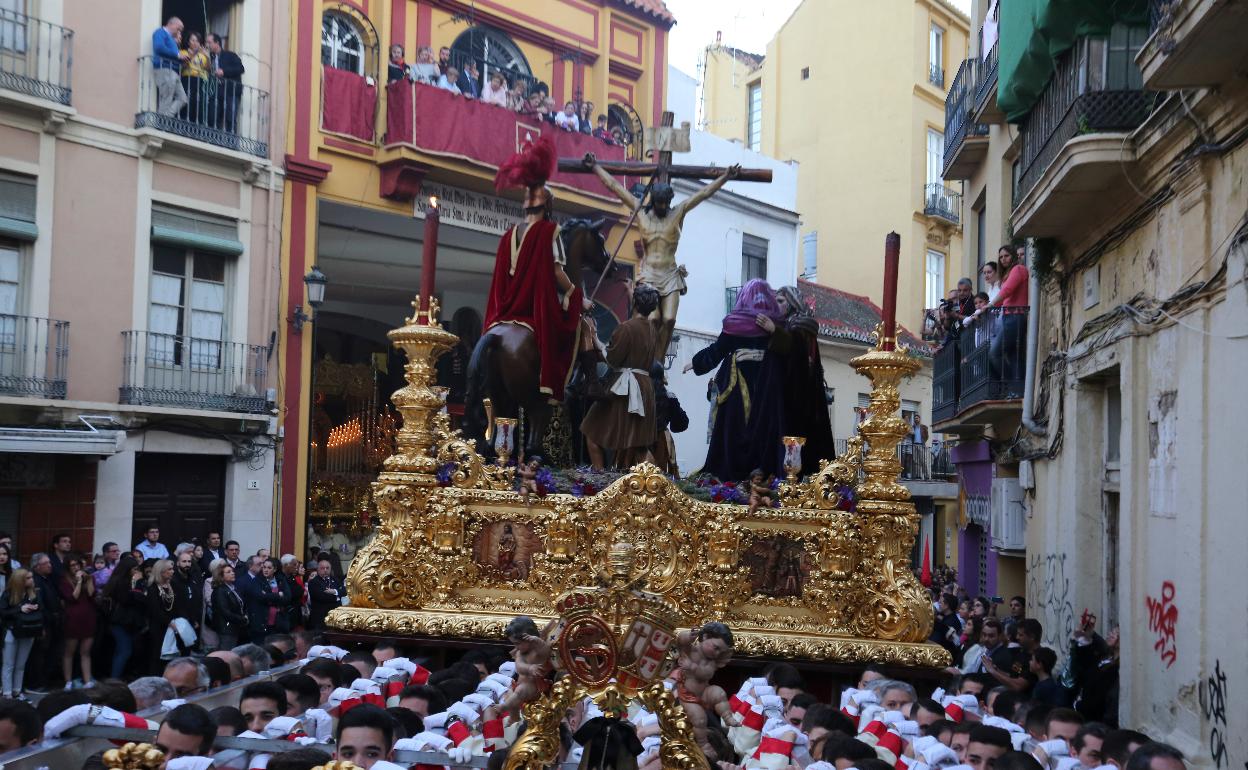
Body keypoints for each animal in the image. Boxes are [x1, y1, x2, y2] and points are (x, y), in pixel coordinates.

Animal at [464, 217, 609, 456]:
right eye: (600, 239)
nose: (610, 264)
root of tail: (497, 339)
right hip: (533, 395)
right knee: (534, 431)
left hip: (499, 393)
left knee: (500, 431)